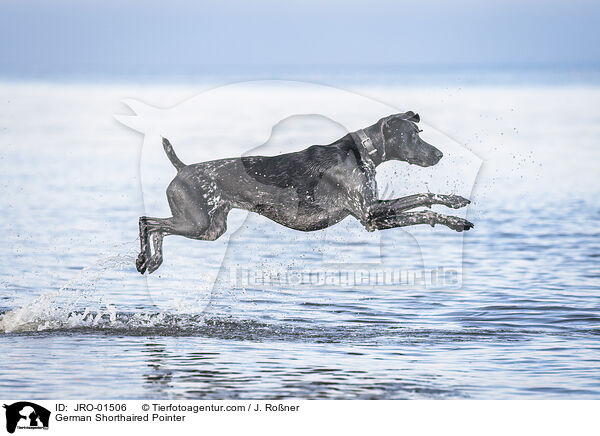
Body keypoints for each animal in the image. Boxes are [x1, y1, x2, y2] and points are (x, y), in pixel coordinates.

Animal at [136, 110, 474, 274]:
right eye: (413, 136)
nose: (439, 154)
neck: (361, 153)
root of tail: (182, 168)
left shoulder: (374, 210)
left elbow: (424, 197)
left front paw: (455, 201)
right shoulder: (370, 215)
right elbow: (422, 207)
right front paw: (455, 221)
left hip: (210, 228)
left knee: (158, 227)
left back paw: (152, 261)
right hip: (196, 221)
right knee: (146, 222)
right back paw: (144, 258)